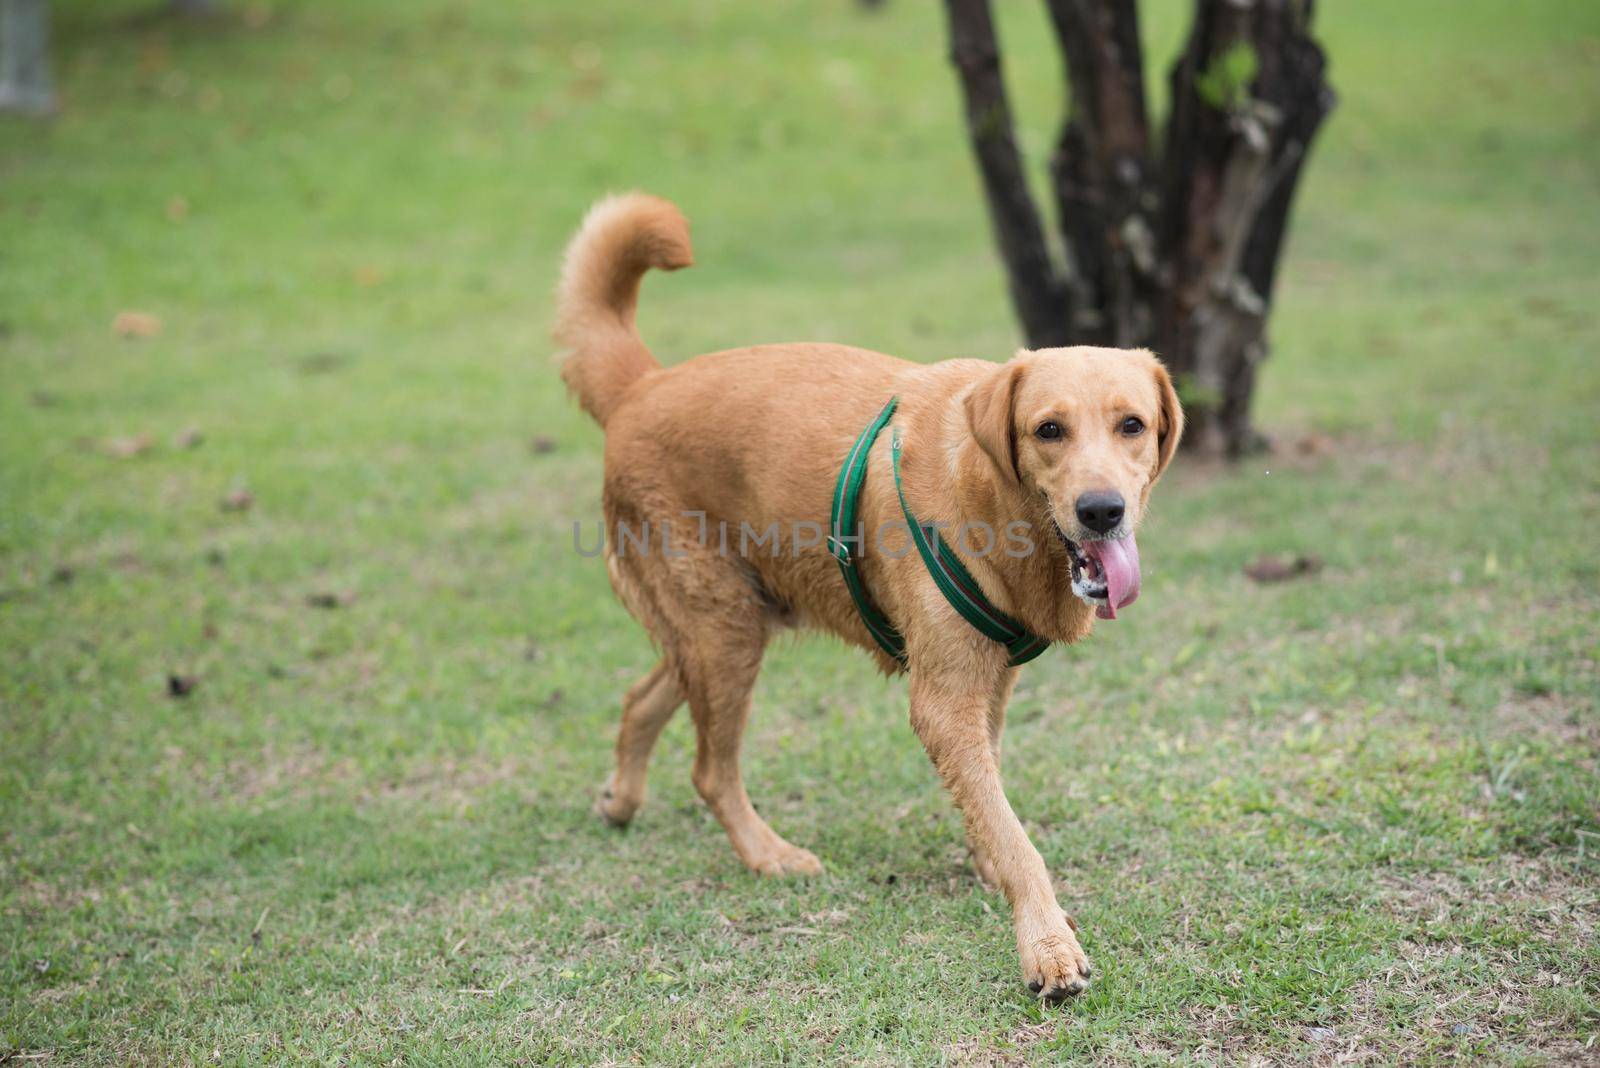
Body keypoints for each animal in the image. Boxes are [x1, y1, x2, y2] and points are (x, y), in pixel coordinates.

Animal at [556, 194, 1184, 1004]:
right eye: (1049, 430)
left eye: (1132, 425)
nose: (1102, 511)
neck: (988, 492)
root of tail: (642, 386)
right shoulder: (944, 700)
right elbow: (1017, 836)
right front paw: (1047, 946)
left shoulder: (989, 683)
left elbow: (992, 802)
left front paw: (993, 869)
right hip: (725, 632)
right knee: (709, 771)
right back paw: (769, 854)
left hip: (722, 626)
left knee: (642, 699)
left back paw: (622, 801)